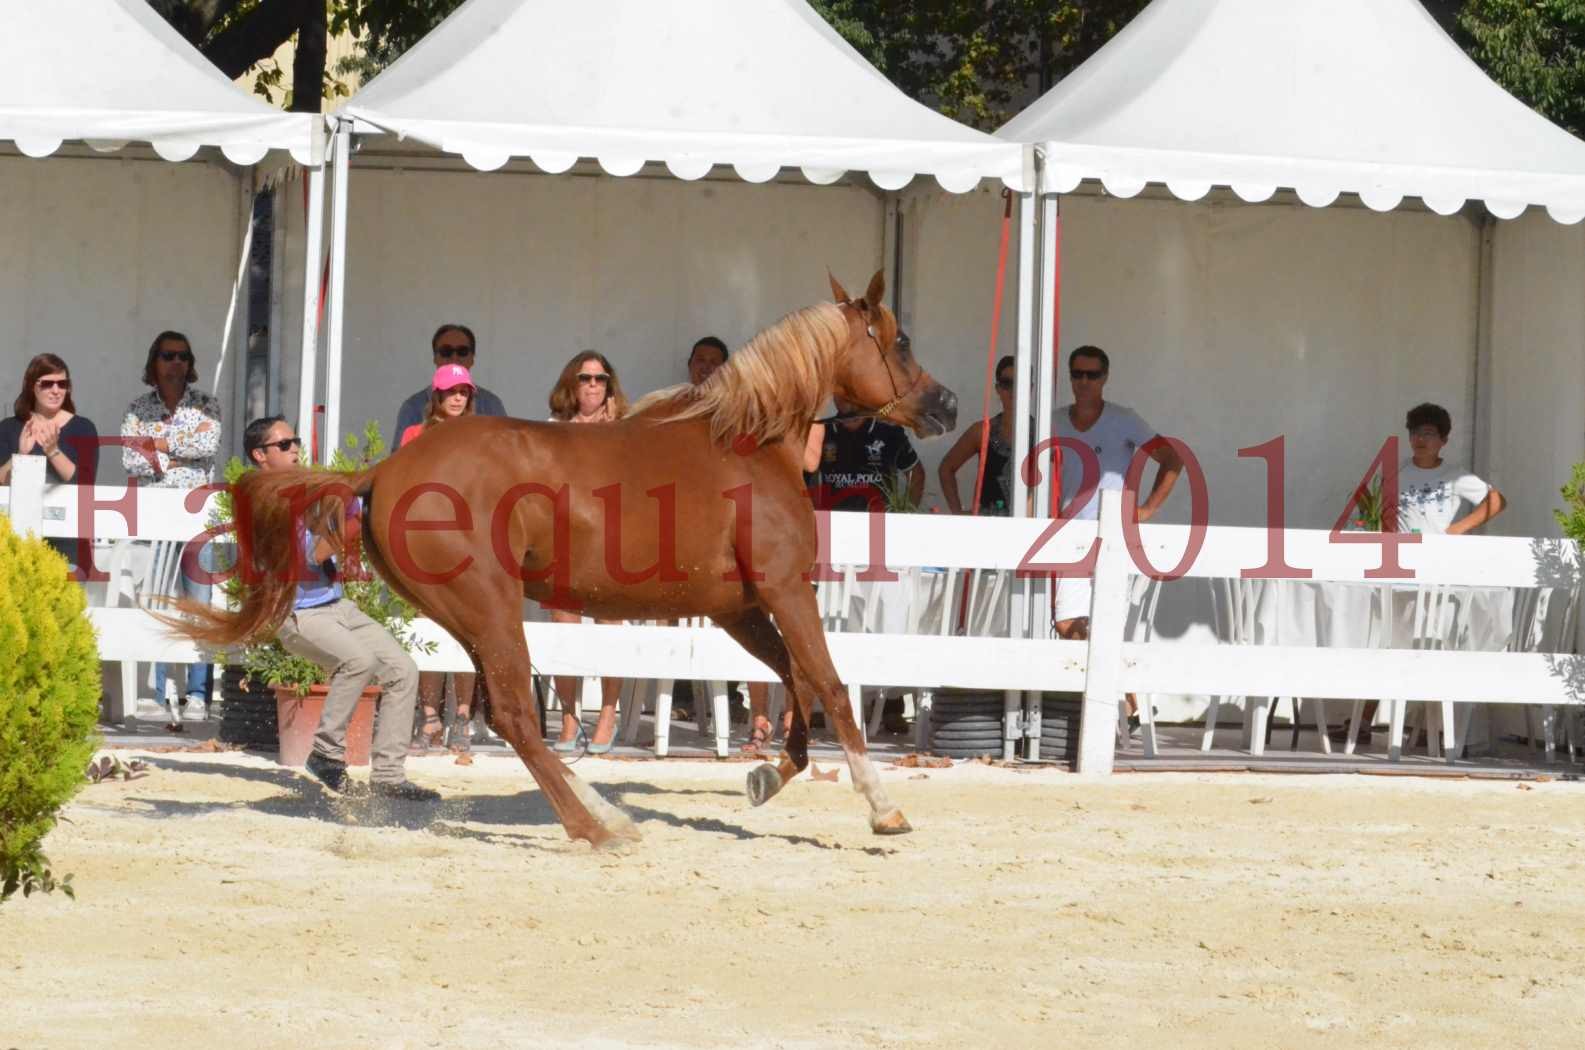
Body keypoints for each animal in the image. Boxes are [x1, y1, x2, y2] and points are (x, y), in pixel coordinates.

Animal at [181, 271, 957, 850]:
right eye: (900, 339)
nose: (945, 403)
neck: (746, 442)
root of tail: (384, 471)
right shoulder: (785, 591)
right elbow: (829, 686)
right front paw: (883, 809)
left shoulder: (738, 609)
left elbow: (794, 681)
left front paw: (767, 778)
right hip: (491, 606)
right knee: (517, 715)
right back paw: (597, 826)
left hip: (465, 615)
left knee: (507, 714)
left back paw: (604, 814)